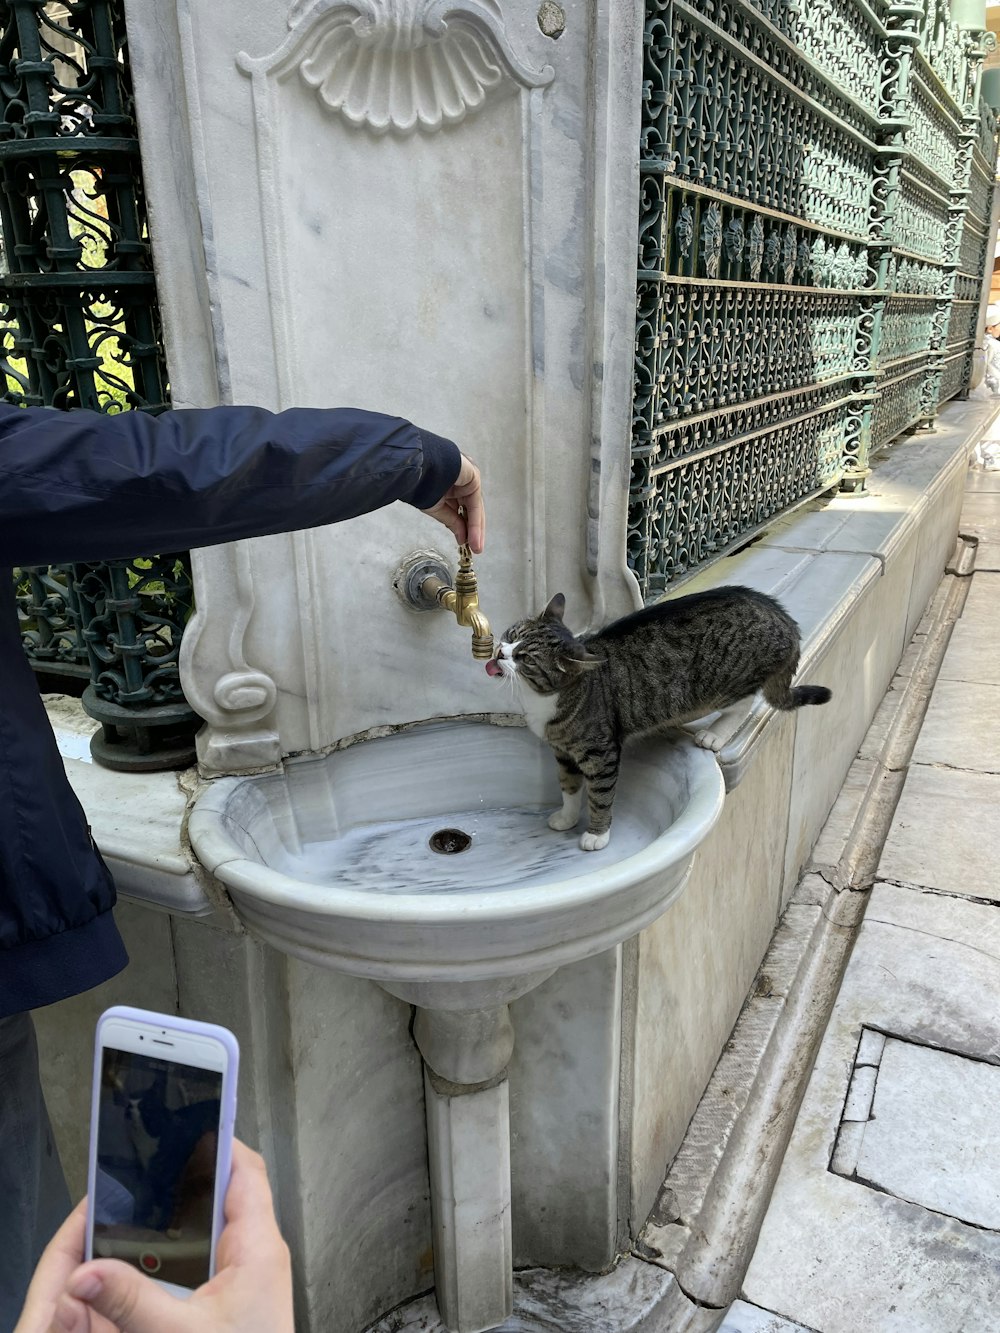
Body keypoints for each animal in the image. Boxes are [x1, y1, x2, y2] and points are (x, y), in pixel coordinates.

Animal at [485, 586, 832, 853]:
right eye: (511, 635)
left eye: (525, 659)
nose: (500, 652)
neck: (543, 697)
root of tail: (784, 619)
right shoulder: (562, 752)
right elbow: (569, 787)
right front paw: (567, 818)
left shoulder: (601, 753)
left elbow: (600, 796)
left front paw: (596, 834)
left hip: (721, 684)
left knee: (745, 702)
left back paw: (715, 734)